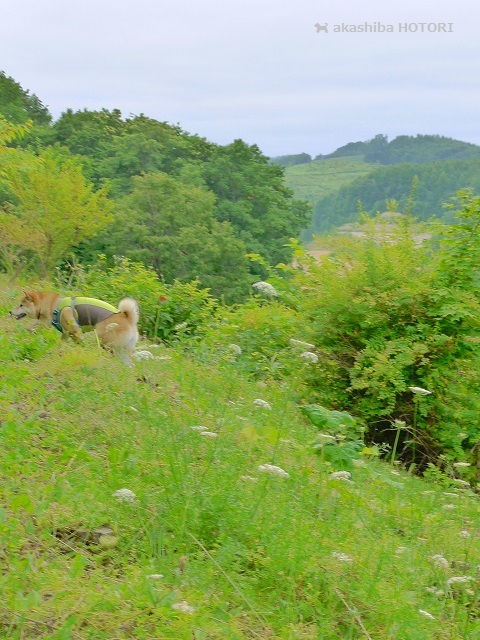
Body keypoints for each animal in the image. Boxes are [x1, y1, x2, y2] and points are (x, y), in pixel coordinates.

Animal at [10, 290, 139, 364]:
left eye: (21, 305)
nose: (10, 311)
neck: (54, 306)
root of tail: (128, 319)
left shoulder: (75, 332)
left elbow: (81, 343)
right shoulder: (66, 334)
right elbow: (59, 344)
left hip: (107, 344)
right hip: (121, 350)